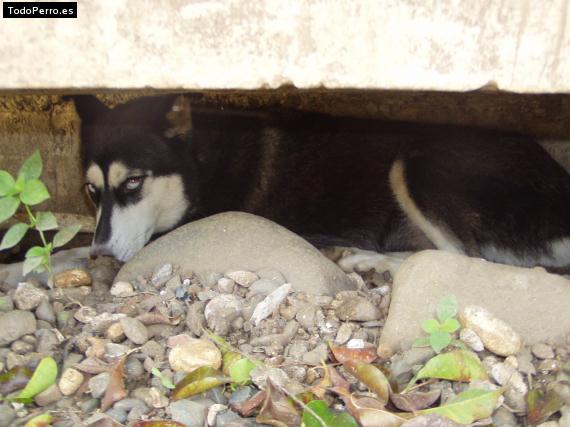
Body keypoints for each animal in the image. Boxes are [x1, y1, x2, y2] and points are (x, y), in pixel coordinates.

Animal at [71, 95, 568, 270]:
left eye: (133, 183)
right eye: (92, 191)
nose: (101, 255)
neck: (205, 160)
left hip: (418, 165)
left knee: (464, 260)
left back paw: (369, 260)